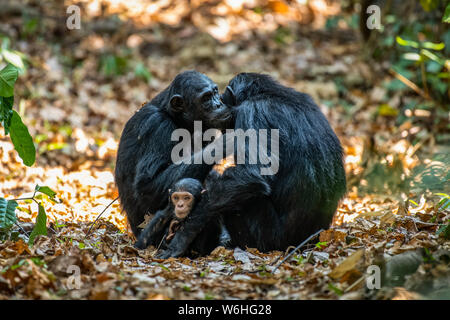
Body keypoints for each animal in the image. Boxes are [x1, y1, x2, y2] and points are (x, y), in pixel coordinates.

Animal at [114, 71, 232, 239]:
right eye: (206, 98)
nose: (218, 104)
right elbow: (148, 185)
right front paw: (224, 143)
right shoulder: (158, 127)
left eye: (215, 92)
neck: (176, 118)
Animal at [153, 72, 346, 258]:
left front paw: (184, 235)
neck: (267, 94)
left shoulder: (252, 113)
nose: (219, 104)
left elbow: (250, 175)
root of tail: (306, 243)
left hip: (267, 239)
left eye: (220, 96)